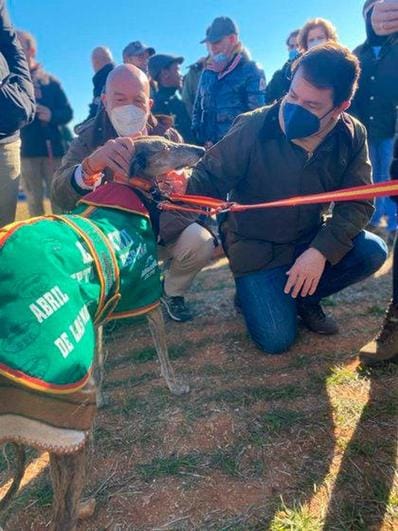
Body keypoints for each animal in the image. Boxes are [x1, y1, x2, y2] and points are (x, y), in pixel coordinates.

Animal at [0, 138, 205, 531]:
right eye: (166, 146)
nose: (201, 149)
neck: (129, 190)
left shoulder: (98, 315)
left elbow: (100, 361)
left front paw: (102, 394)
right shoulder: (147, 298)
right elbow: (163, 357)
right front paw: (176, 386)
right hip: (64, 424)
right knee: (61, 514)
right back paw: (81, 508)